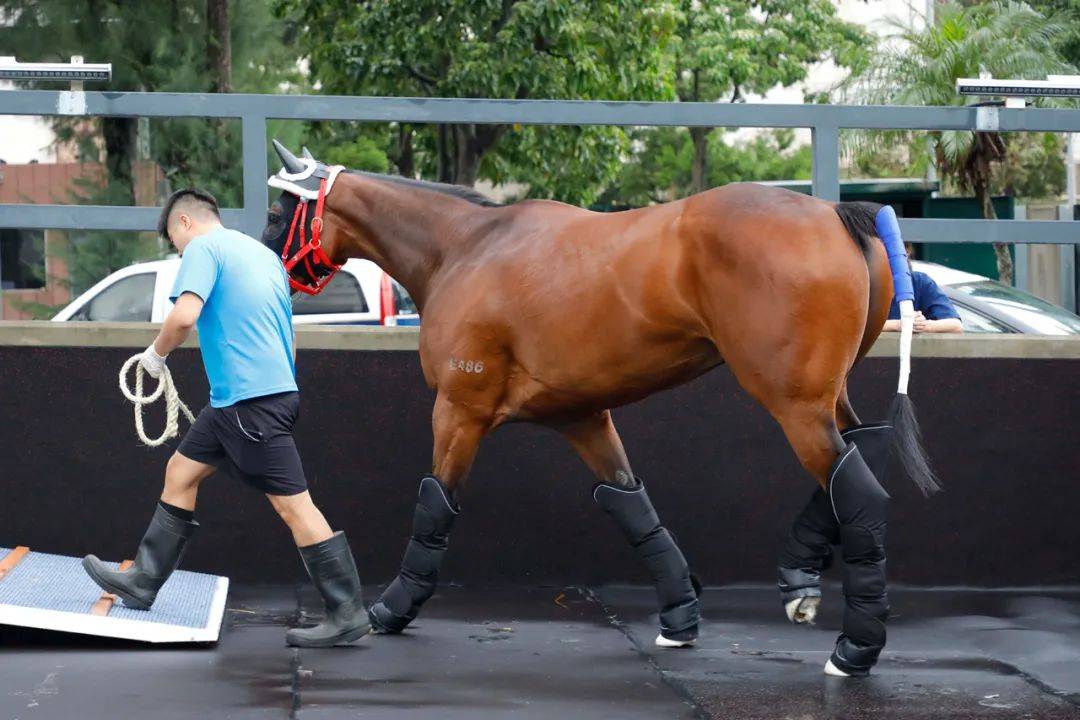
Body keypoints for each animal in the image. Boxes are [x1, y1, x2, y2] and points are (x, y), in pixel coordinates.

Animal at [261, 142, 937, 682]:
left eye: (276, 212)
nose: (266, 271)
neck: (465, 247)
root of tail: (835, 214)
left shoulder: (459, 410)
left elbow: (434, 504)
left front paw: (391, 609)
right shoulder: (583, 419)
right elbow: (630, 506)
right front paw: (679, 614)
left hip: (793, 403)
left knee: (860, 491)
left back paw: (855, 648)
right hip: (825, 397)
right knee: (861, 450)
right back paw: (799, 572)